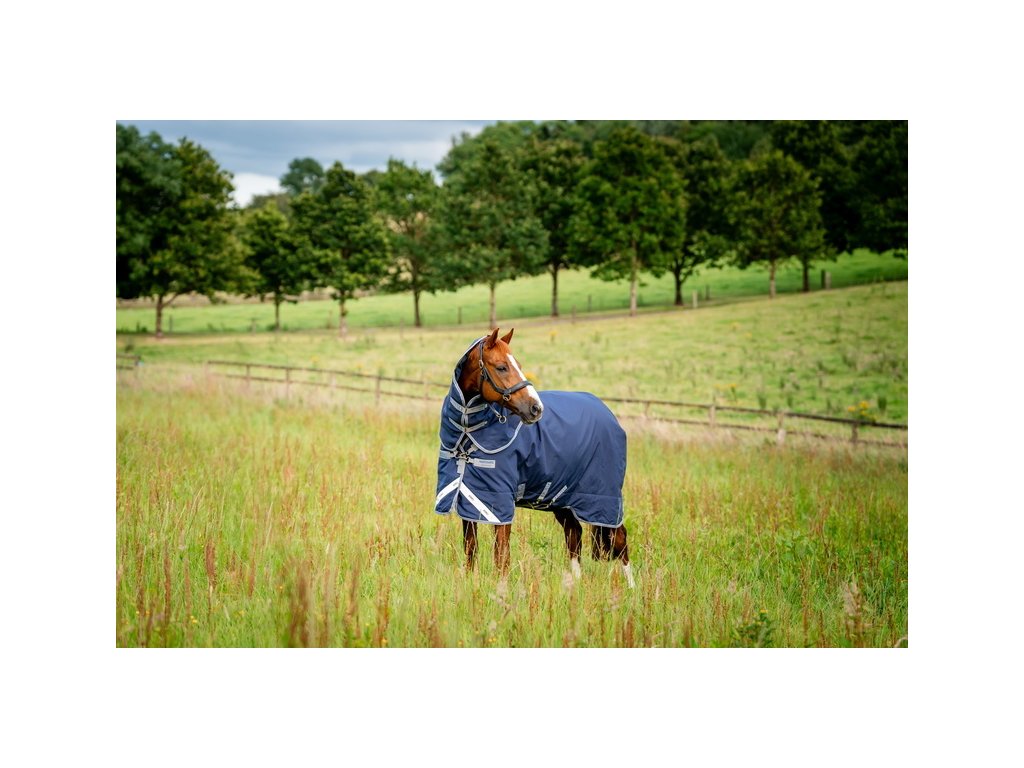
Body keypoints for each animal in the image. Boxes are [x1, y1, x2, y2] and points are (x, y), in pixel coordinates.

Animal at [434, 327, 634, 588]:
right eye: (501, 367)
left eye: (518, 365)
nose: (535, 409)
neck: (469, 434)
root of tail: (609, 415)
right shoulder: (467, 498)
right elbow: (471, 549)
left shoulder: (499, 503)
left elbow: (501, 555)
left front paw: (501, 591)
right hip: (564, 499)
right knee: (574, 536)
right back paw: (575, 586)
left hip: (603, 499)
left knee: (619, 538)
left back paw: (632, 589)